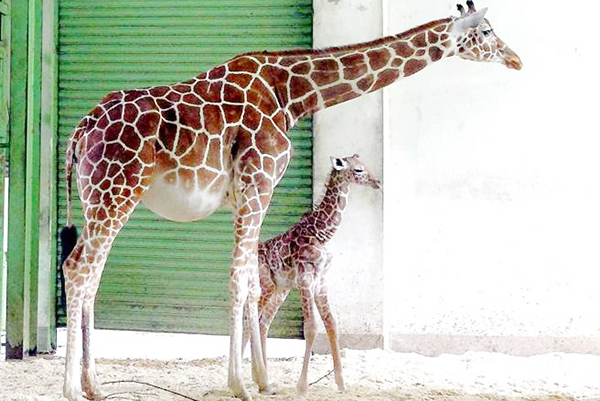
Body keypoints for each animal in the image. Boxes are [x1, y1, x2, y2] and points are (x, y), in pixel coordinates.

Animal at [246, 154, 382, 394]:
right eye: (358, 169)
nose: (377, 182)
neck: (321, 234)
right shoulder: (305, 280)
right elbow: (311, 328)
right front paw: (302, 386)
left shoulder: (321, 282)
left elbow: (332, 324)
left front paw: (341, 383)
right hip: (265, 286)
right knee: (248, 321)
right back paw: (252, 380)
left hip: (280, 290)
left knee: (263, 323)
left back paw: (264, 379)